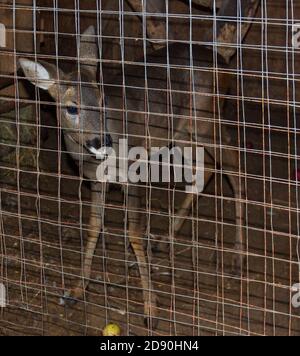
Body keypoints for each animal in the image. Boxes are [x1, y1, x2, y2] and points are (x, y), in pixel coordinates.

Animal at [18, 25, 245, 328]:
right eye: (72, 107)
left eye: (102, 101)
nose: (101, 139)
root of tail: (222, 62)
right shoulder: (95, 181)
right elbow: (93, 226)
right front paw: (76, 290)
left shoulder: (133, 171)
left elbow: (134, 233)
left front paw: (151, 309)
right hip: (181, 131)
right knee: (205, 168)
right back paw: (164, 240)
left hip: (207, 119)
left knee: (234, 163)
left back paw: (237, 258)